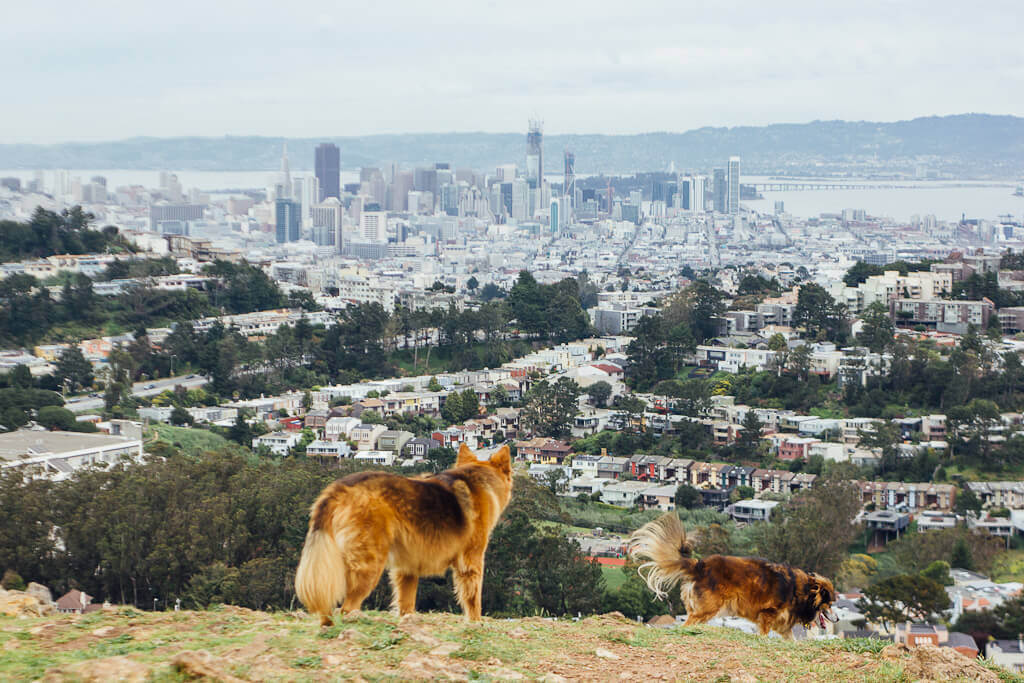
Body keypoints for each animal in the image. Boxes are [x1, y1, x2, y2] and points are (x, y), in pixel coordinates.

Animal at [294, 444, 509, 626]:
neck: (477, 479)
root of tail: (339, 488)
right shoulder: (471, 561)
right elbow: (474, 598)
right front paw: (476, 623)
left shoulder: (408, 567)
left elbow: (406, 602)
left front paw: (408, 622)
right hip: (369, 565)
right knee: (347, 607)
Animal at [626, 511, 835, 634]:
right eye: (830, 604)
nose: (838, 618)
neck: (802, 589)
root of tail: (700, 565)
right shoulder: (766, 616)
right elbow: (764, 634)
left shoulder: (783, 627)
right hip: (706, 609)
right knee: (687, 624)